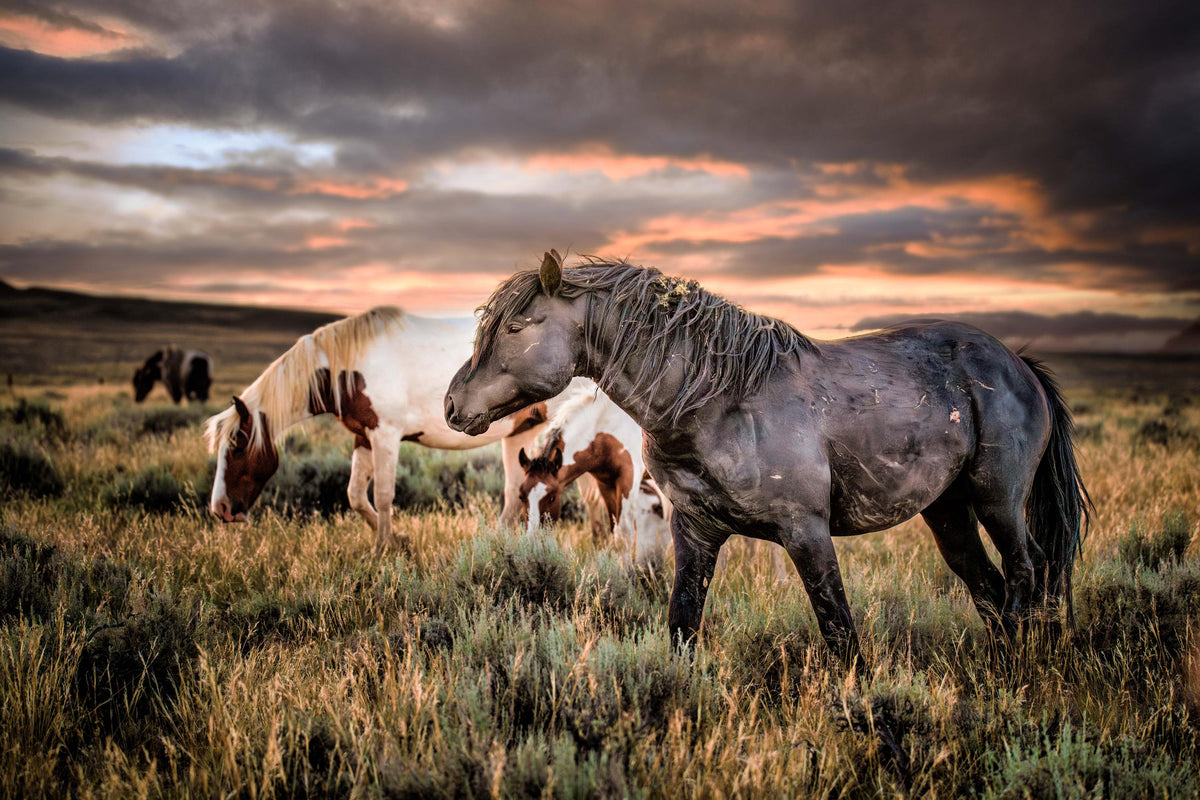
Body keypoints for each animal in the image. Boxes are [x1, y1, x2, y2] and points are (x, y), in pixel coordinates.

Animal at [204, 306, 590, 551]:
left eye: (236, 445)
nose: (220, 509)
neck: (349, 365)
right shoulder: (363, 436)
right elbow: (356, 496)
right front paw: (395, 539)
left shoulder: (385, 435)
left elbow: (384, 494)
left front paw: (384, 548)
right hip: (519, 433)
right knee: (513, 494)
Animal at [516, 384, 672, 559]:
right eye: (521, 496)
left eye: (552, 497)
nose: (533, 541)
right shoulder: (605, 484)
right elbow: (614, 531)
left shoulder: (628, 480)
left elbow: (624, 535)